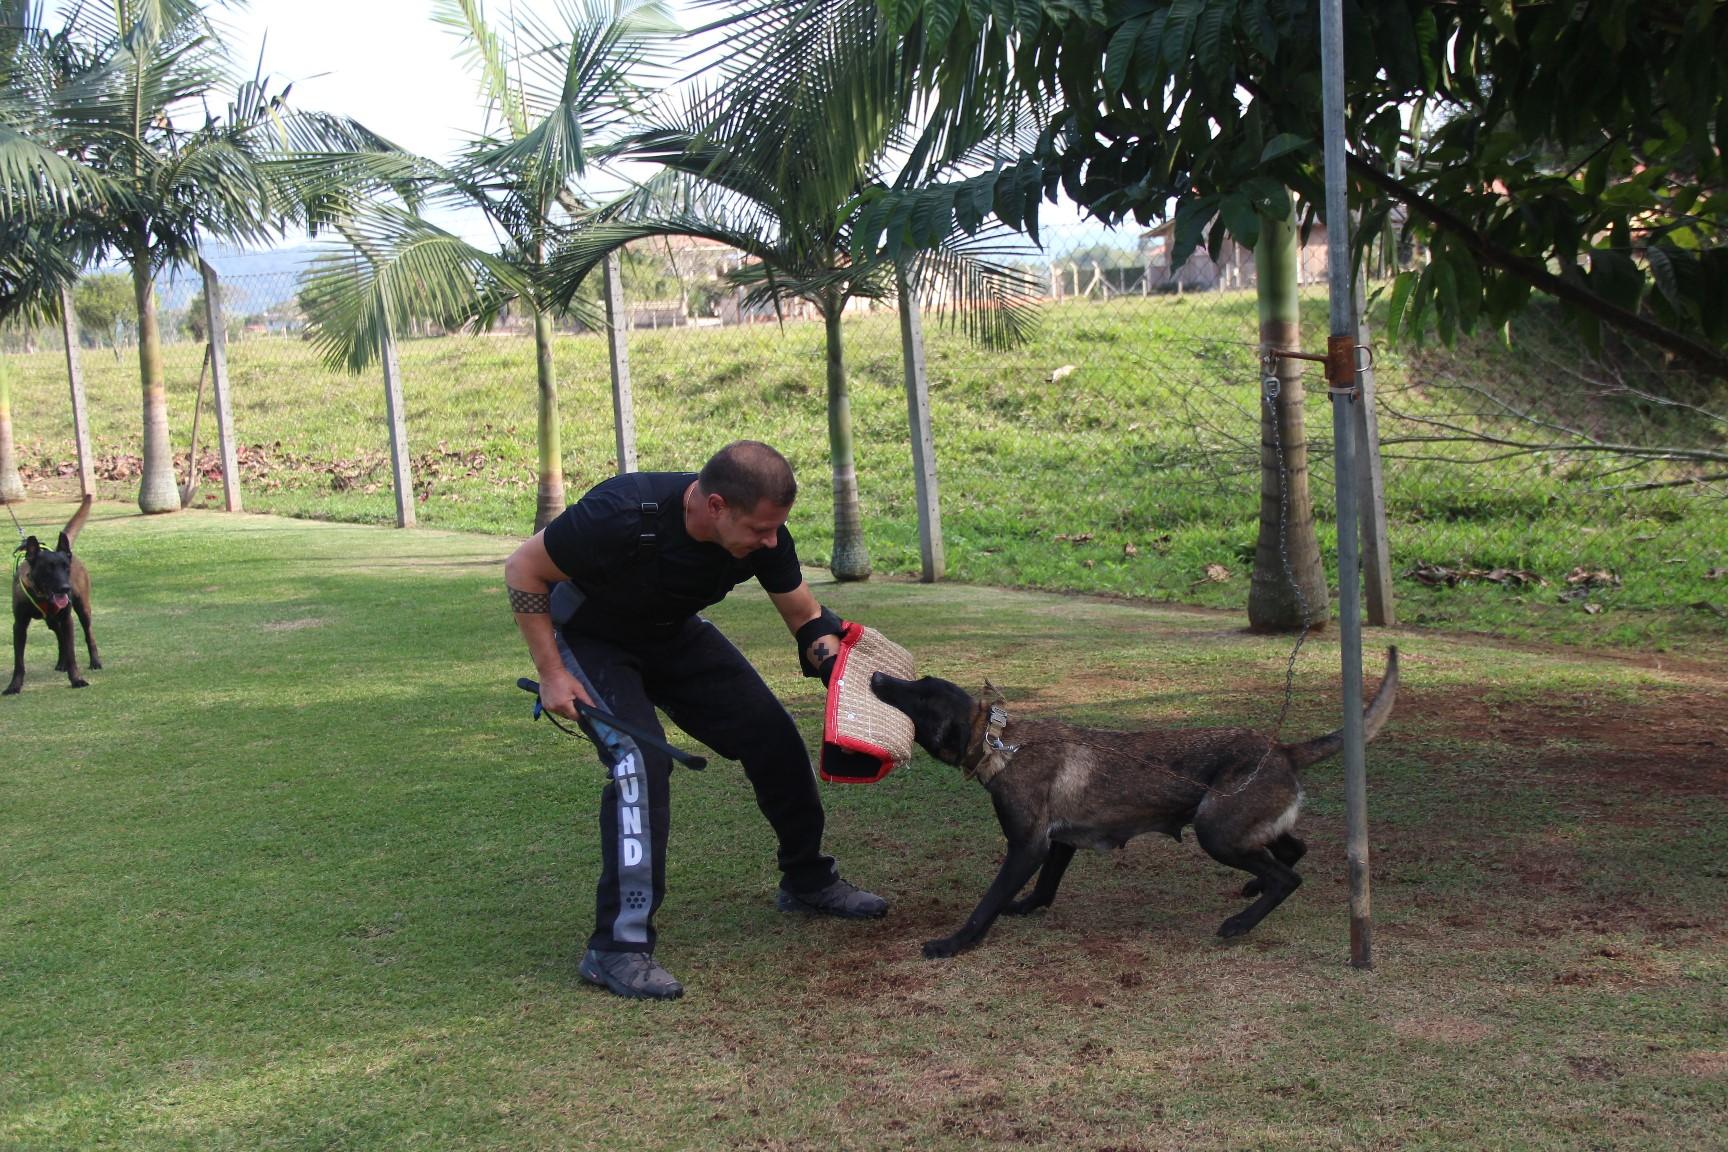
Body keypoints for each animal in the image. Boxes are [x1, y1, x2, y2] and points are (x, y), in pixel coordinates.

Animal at [6, 497, 100, 694]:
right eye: (48, 569)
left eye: (66, 568)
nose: (65, 588)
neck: (41, 595)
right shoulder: (19, 625)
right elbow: (19, 661)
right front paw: (14, 686)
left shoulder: (66, 619)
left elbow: (72, 653)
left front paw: (76, 679)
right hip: (51, 620)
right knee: (59, 637)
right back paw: (61, 663)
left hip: (82, 609)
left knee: (89, 634)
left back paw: (95, 661)